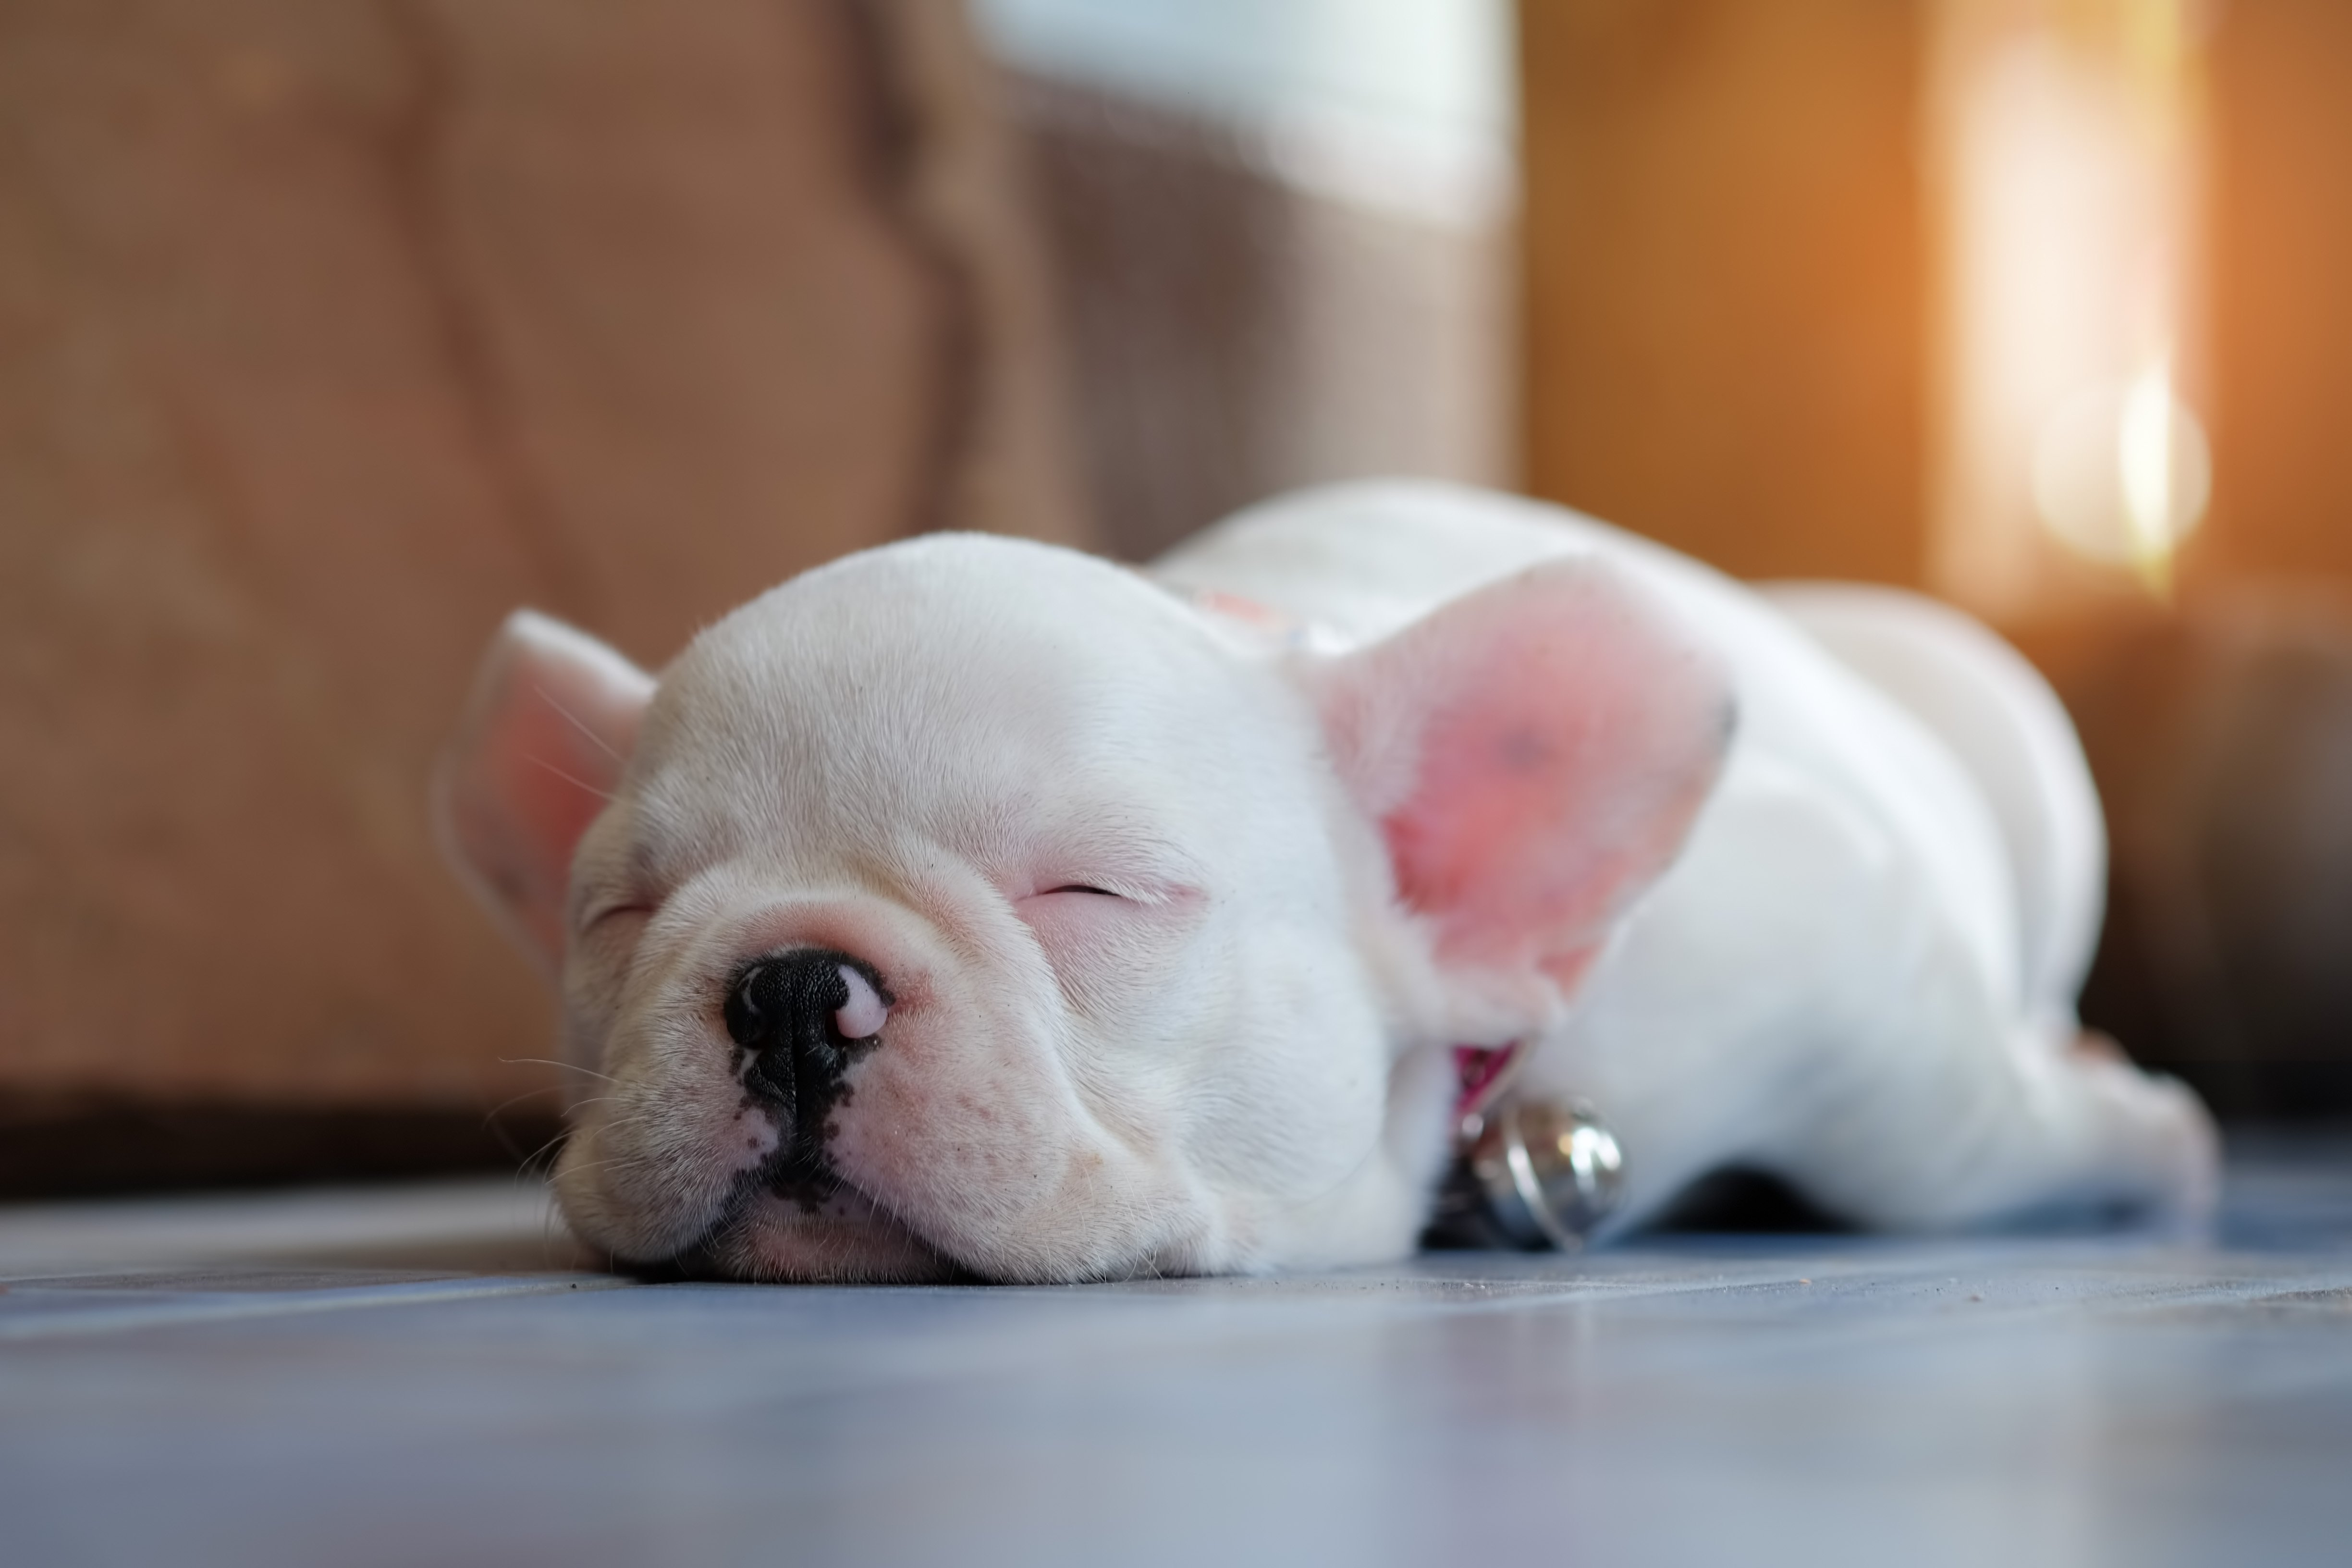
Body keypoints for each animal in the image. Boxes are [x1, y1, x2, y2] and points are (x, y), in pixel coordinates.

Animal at [432, 484, 2211, 1279]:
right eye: (618, 916)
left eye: (1094, 895)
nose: (793, 985)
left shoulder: (1852, 969)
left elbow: (1951, 1141)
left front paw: (2136, 1128)